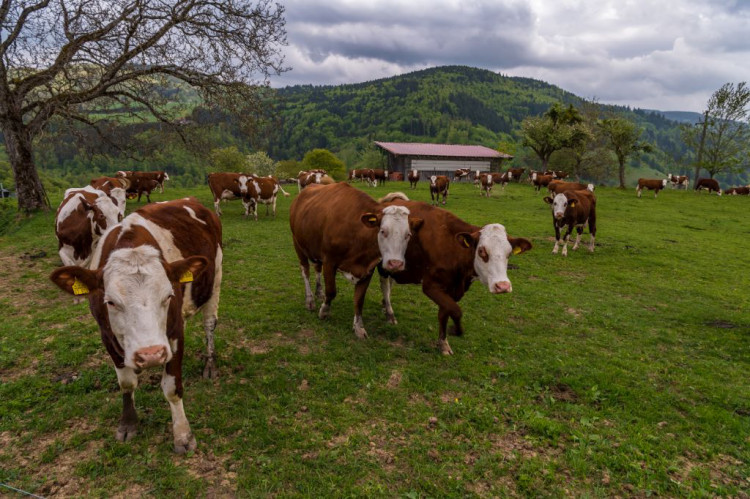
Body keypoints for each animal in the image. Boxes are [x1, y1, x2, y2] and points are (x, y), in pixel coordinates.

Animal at [50, 197, 223, 456]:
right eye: (110, 301)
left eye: (169, 295)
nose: (151, 354)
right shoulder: (107, 335)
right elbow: (126, 383)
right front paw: (128, 424)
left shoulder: (174, 333)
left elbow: (172, 387)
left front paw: (183, 435)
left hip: (216, 279)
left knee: (209, 324)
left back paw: (209, 364)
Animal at [290, 183, 424, 340]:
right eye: (383, 231)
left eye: (408, 234)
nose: (395, 263)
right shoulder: (329, 261)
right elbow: (331, 291)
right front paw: (324, 311)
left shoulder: (367, 268)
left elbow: (359, 300)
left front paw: (359, 327)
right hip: (298, 244)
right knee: (305, 271)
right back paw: (310, 300)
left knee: (317, 267)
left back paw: (319, 292)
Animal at [376, 195, 536, 356]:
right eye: (481, 251)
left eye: (509, 253)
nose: (502, 286)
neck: (451, 246)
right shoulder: (430, 286)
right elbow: (456, 311)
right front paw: (455, 330)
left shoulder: (451, 289)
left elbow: (445, 313)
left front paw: (443, 343)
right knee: (385, 285)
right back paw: (389, 313)